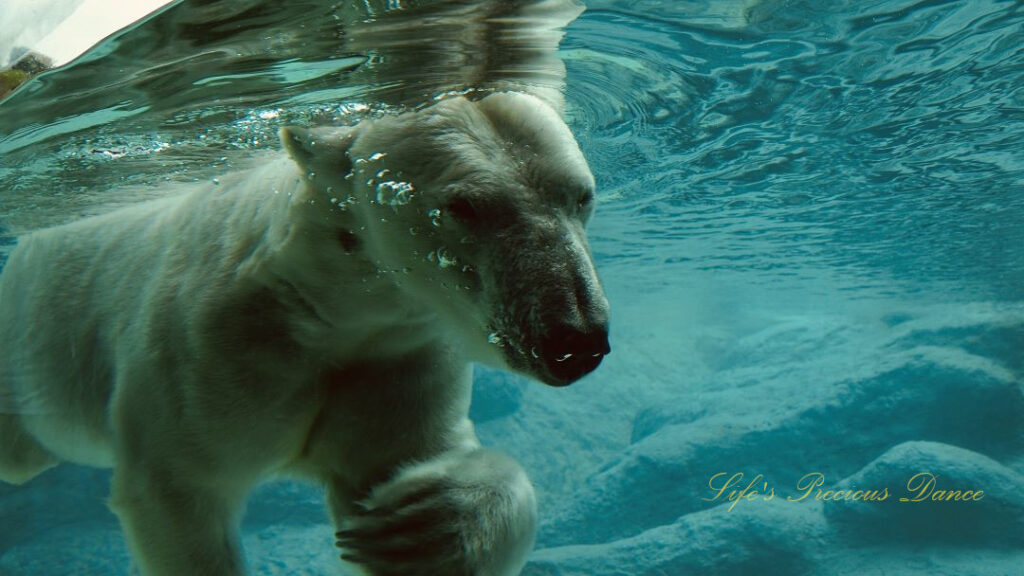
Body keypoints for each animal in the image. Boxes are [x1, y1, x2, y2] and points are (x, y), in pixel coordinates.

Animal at [0, 91, 606, 569]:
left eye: (582, 195)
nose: (576, 338)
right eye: (465, 207)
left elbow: (401, 464)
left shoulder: (394, 355)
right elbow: (178, 486)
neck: (320, 305)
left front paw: (418, 524)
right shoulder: (209, 355)